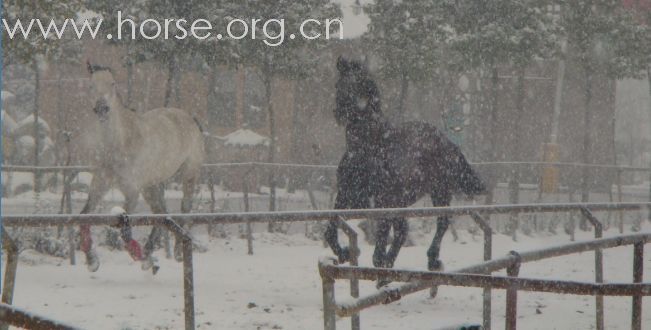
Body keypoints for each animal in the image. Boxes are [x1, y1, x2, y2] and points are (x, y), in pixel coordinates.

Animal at [81, 62, 204, 274]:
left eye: (112, 84)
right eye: (91, 85)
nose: (102, 108)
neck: (120, 144)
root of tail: (189, 117)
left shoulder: (132, 192)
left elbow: (125, 230)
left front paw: (142, 258)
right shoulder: (99, 185)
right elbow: (84, 217)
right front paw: (92, 261)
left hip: (189, 174)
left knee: (184, 209)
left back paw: (175, 252)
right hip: (151, 185)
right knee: (161, 213)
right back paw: (149, 254)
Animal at [324, 56, 484, 278]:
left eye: (357, 85)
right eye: (338, 85)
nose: (339, 112)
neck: (367, 147)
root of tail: (446, 140)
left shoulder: (384, 199)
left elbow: (383, 235)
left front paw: (378, 262)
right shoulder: (348, 193)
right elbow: (330, 229)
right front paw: (345, 253)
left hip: (440, 190)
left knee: (441, 222)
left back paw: (433, 260)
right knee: (403, 230)